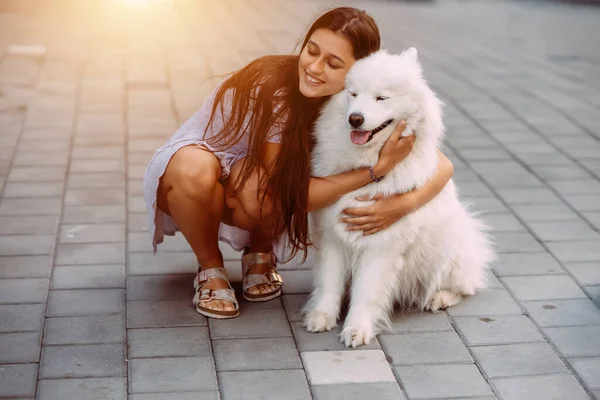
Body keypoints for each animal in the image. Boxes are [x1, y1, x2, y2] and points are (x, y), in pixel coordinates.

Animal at [302, 47, 494, 346]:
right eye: (352, 94)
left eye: (382, 97)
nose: (355, 118)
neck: (363, 167)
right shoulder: (331, 235)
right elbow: (329, 282)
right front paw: (322, 316)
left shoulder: (381, 246)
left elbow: (366, 293)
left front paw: (356, 329)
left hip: (446, 253)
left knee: (465, 287)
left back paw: (439, 297)